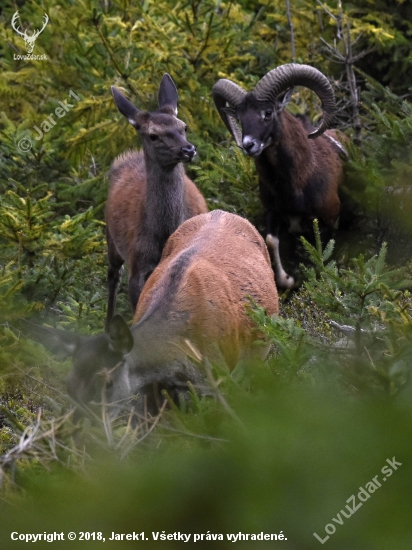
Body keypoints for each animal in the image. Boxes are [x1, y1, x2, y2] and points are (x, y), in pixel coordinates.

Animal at [104, 74, 208, 332]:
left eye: (183, 127)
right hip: (111, 237)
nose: (188, 149)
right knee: (113, 275)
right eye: (153, 135)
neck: (163, 233)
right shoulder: (138, 267)